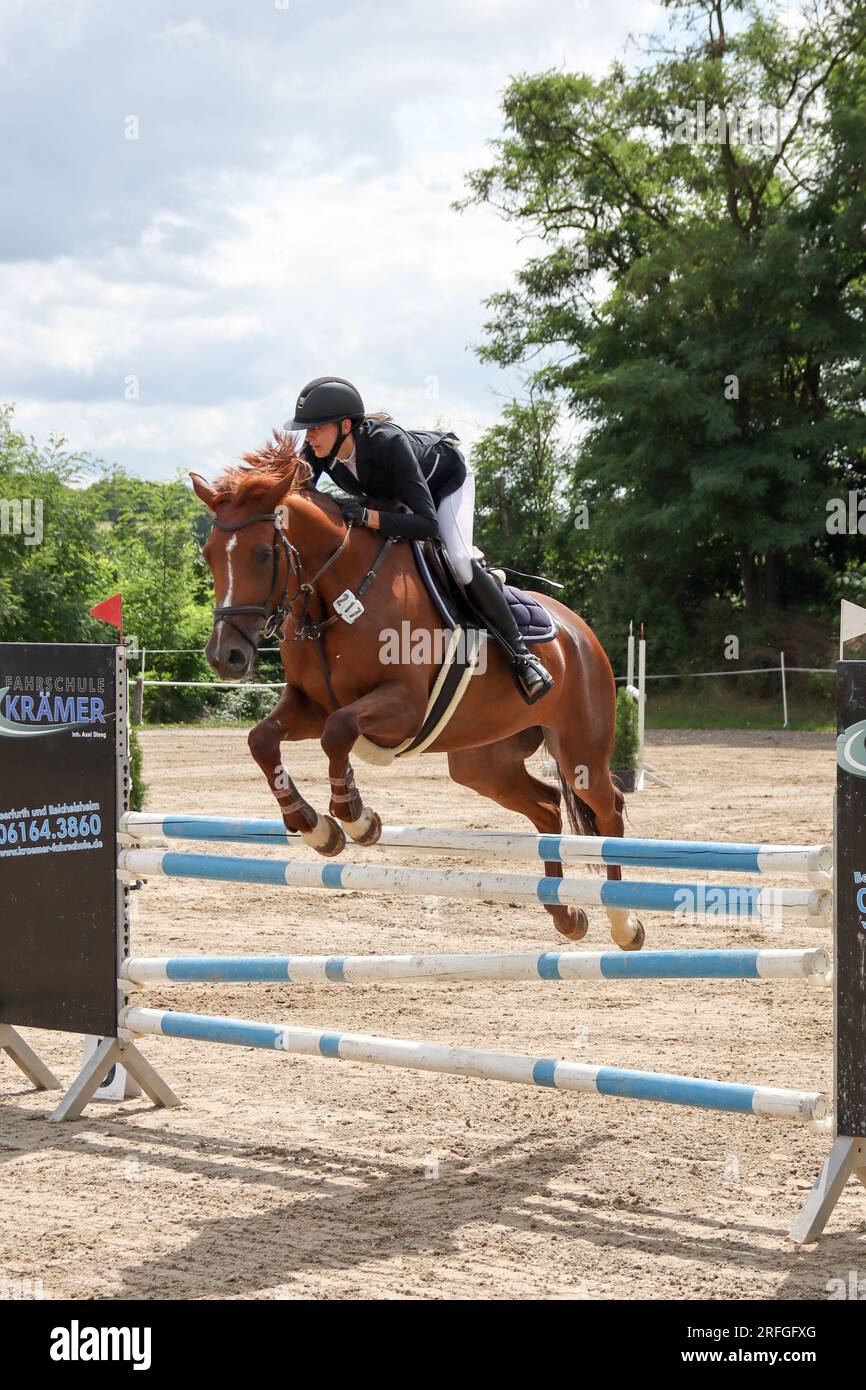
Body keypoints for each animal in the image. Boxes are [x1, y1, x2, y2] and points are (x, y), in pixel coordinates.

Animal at [194, 439, 644, 950]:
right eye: (209, 555)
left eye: (260, 555)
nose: (224, 657)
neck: (338, 591)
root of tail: (580, 632)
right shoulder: (309, 704)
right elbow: (263, 741)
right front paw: (315, 828)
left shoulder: (402, 708)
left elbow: (338, 732)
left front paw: (356, 818)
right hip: (483, 764)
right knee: (548, 807)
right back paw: (565, 914)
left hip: (580, 748)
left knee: (608, 810)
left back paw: (625, 922)